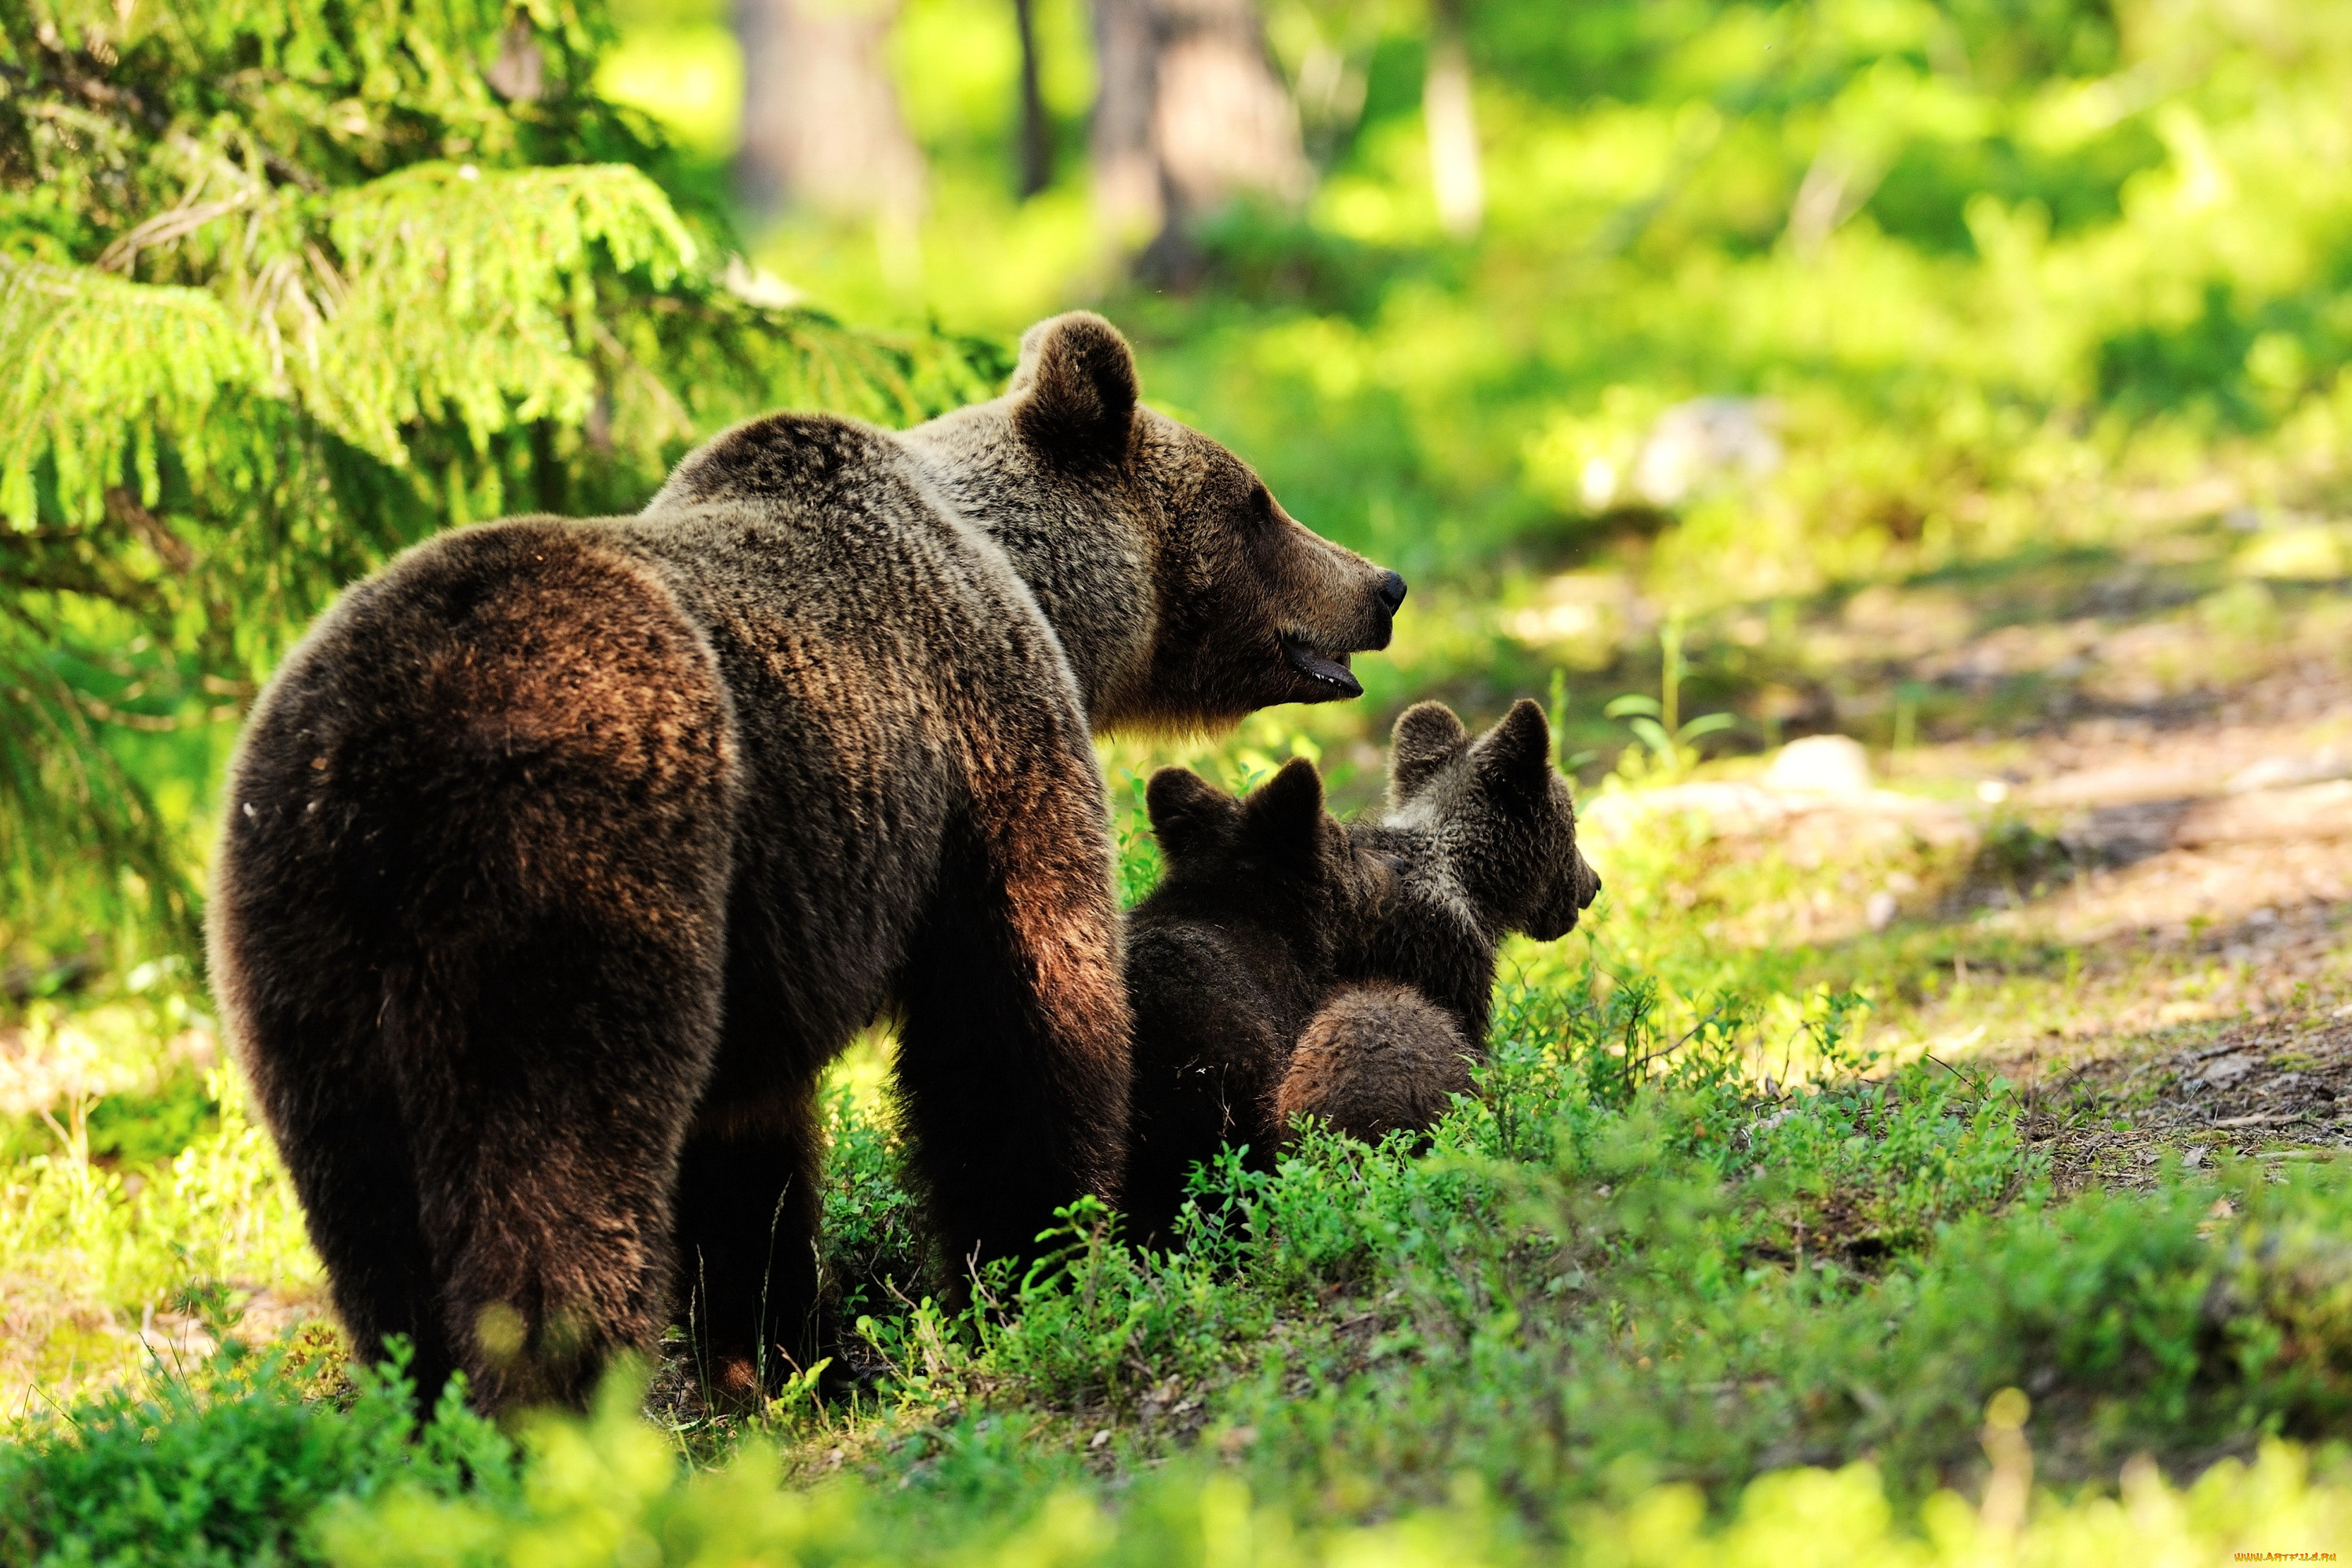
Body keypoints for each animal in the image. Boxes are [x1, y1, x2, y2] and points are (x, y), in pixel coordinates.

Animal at [207, 312, 1392, 1420]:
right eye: (1257, 499)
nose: (1383, 584)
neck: (1033, 582)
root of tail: (384, 758)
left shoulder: (769, 928)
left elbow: (750, 1149)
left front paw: (784, 1356)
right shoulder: (983, 743)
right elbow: (1018, 1026)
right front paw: (1037, 1266)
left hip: (303, 949)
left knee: (369, 1212)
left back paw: (436, 1420)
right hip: (568, 882)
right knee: (551, 1173)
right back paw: (564, 1415)